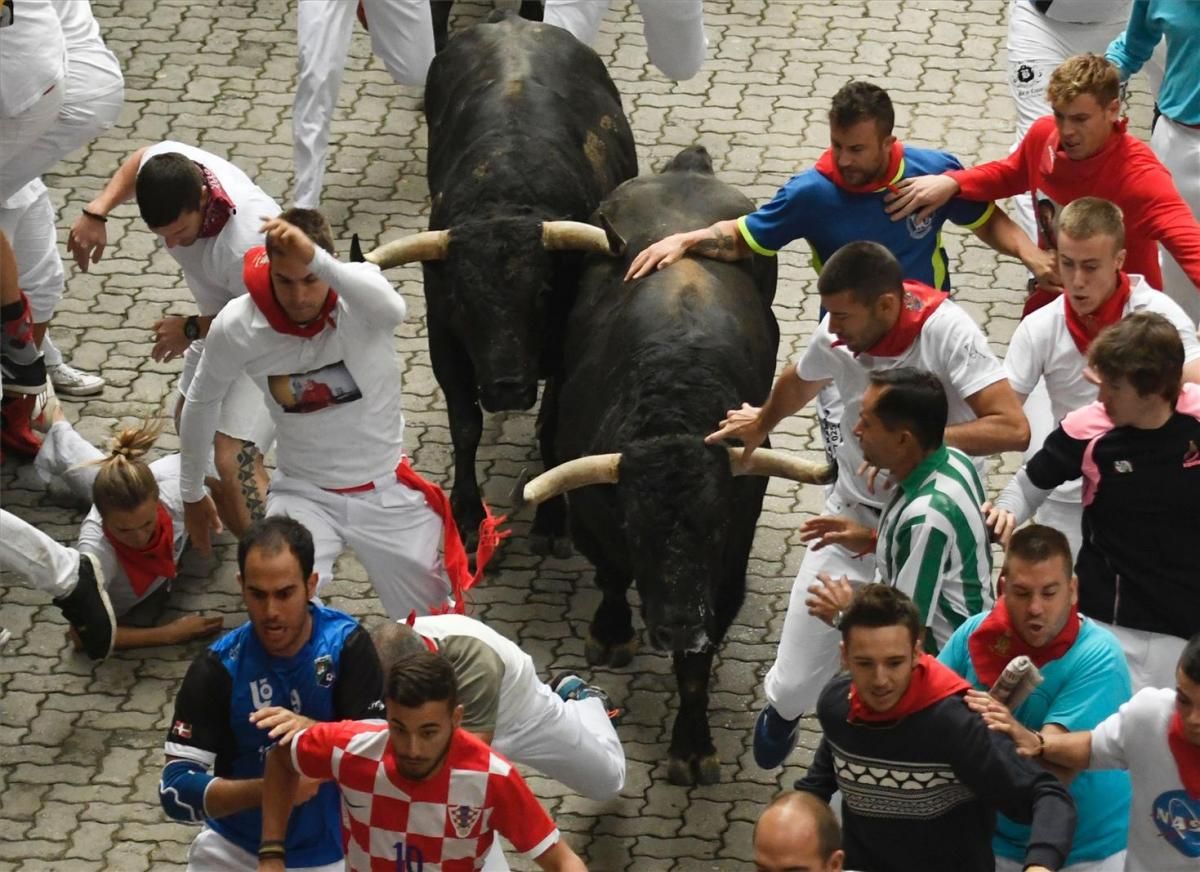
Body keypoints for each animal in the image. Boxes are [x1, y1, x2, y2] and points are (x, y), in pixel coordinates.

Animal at [355, 13, 638, 551]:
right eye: (464, 301)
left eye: (544, 294)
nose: (507, 389)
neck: (504, 197)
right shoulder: (444, 339)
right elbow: (465, 425)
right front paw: (466, 515)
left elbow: (551, 427)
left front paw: (549, 518)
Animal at [518, 146, 835, 786]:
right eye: (637, 530)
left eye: (713, 528)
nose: (677, 625)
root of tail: (688, 167)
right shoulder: (595, 519)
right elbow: (611, 576)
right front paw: (612, 633)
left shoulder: (727, 564)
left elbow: (696, 667)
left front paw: (692, 746)